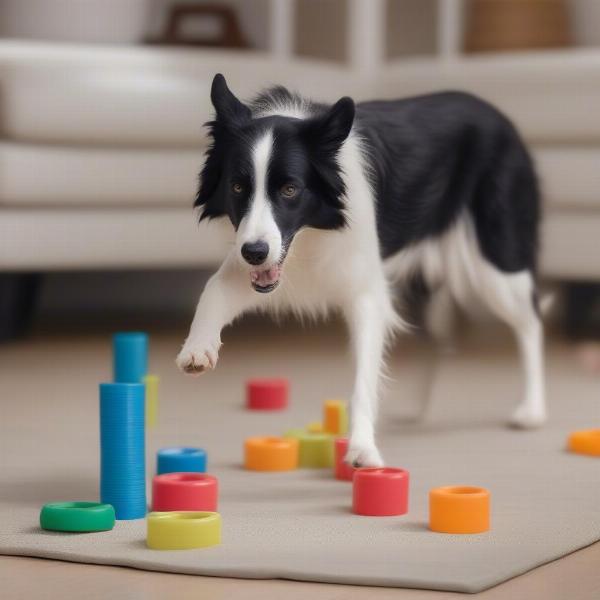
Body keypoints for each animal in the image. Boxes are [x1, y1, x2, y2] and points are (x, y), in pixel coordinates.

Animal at [176, 74, 548, 468]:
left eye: (290, 189)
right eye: (237, 186)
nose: (254, 253)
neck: (310, 234)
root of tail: (498, 115)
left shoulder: (364, 291)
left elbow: (363, 376)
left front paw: (362, 447)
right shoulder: (256, 256)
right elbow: (214, 287)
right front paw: (197, 350)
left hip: (497, 260)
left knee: (530, 321)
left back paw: (532, 409)